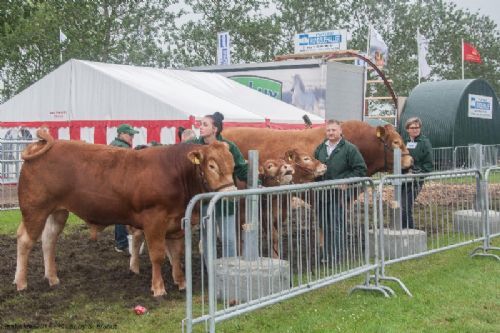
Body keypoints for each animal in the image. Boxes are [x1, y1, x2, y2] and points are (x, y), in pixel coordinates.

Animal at [13, 129, 236, 296]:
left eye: (233, 164)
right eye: (212, 165)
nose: (232, 195)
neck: (175, 173)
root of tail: (41, 144)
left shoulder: (177, 223)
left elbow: (176, 254)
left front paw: (181, 283)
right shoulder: (154, 220)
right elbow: (157, 255)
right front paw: (158, 288)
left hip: (58, 212)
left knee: (48, 240)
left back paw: (52, 278)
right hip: (35, 209)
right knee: (25, 240)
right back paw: (21, 283)